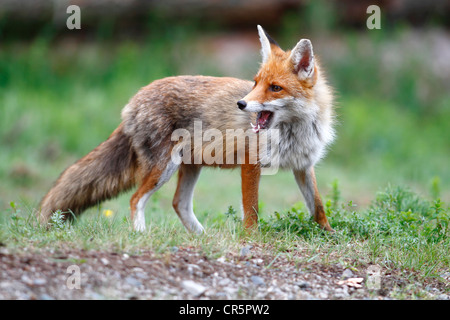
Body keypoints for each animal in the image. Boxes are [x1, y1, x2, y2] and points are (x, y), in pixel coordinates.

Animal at [38, 25, 334, 232]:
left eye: (275, 87)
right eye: (255, 82)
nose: (241, 103)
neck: (295, 132)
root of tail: (133, 101)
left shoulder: (303, 166)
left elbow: (318, 205)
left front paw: (329, 233)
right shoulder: (251, 163)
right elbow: (251, 210)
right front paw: (252, 239)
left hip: (190, 166)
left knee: (178, 203)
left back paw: (202, 236)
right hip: (163, 168)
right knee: (136, 199)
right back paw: (141, 234)